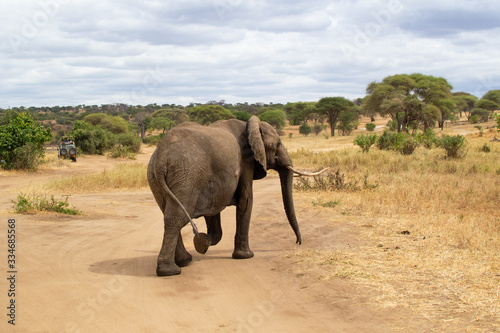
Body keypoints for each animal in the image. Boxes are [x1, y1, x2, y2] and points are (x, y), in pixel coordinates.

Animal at [146, 115, 326, 274]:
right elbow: (246, 201)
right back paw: (170, 271)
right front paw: (245, 256)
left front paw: (204, 243)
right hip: (187, 175)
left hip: (159, 178)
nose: (298, 242)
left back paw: (185, 261)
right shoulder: (246, 161)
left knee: (168, 214)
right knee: (176, 217)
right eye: (278, 143)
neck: (251, 126)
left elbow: (213, 210)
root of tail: (161, 158)